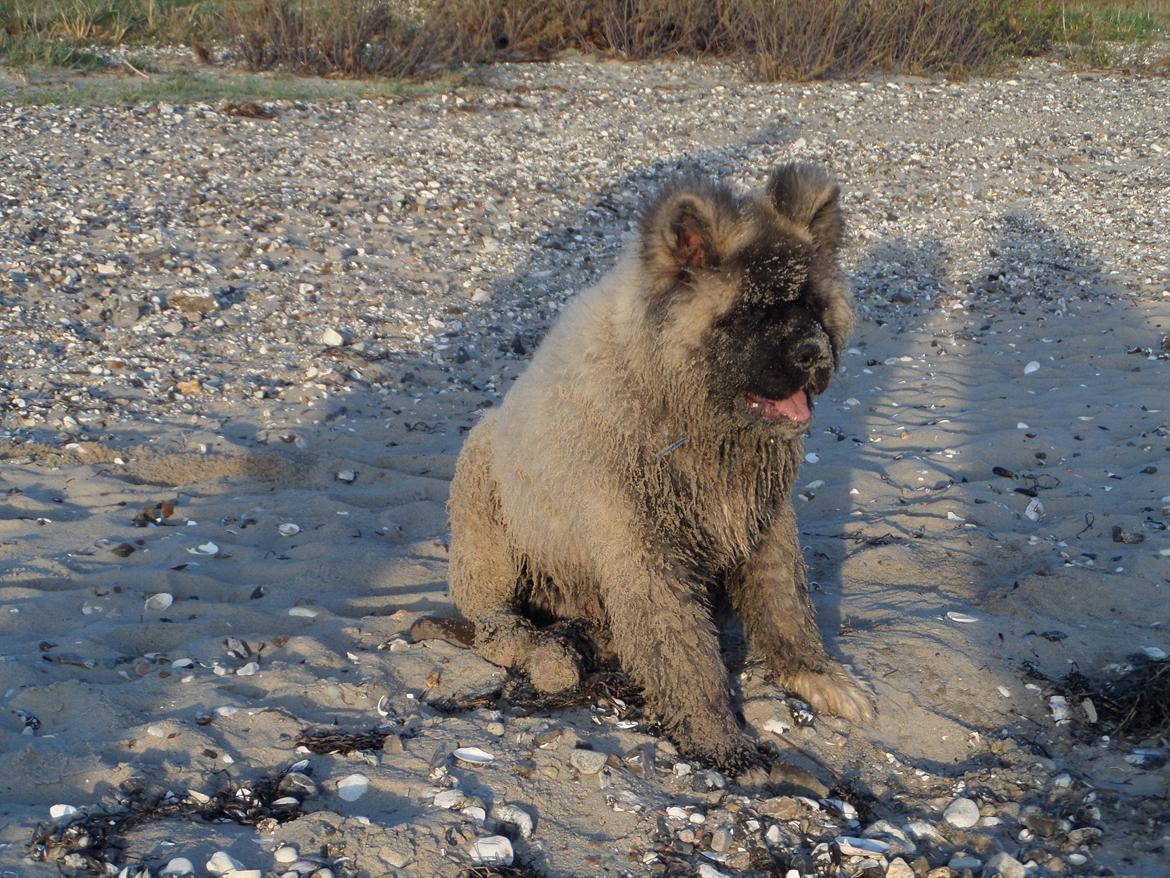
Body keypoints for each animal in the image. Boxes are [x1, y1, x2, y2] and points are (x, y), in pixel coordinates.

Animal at [451, 163, 875, 767]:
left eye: (812, 305)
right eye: (751, 312)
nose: (815, 353)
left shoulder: (763, 521)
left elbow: (785, 606)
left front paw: (815, 676)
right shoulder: (645, 553)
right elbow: (686, 654)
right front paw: (719, 740)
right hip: (485, 506)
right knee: (490, 621)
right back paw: (537, 648)